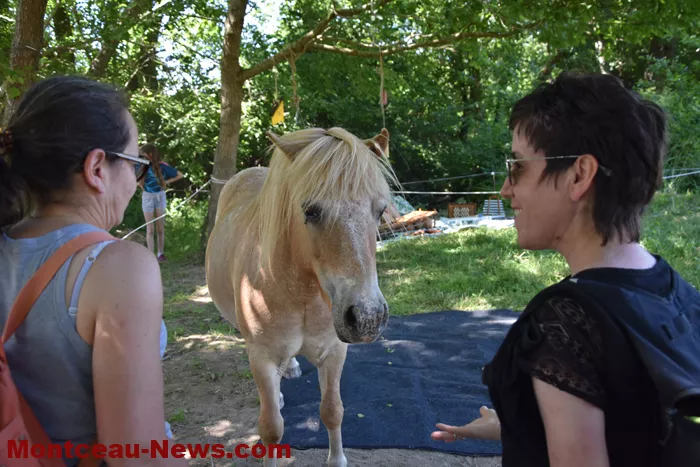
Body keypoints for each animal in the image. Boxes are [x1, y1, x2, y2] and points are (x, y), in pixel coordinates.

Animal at [205, 127, 399, 467]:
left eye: (380, 210)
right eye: (311, 211)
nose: (367, 317)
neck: (304, 296)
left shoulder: (334, 351)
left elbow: (332, 411)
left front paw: (337, 460)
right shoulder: (262, 357)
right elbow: (271, 428)